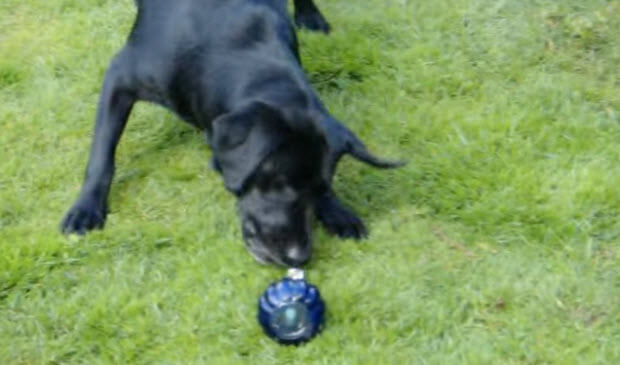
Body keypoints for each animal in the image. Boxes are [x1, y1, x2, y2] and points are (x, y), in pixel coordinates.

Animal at [60, 0, 402, 268]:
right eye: (281, 184)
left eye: (319, 188)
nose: (300, 257)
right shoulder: (120, 75)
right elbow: (102, 155)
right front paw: (85, 208)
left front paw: (337, 211)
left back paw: (311, 17)